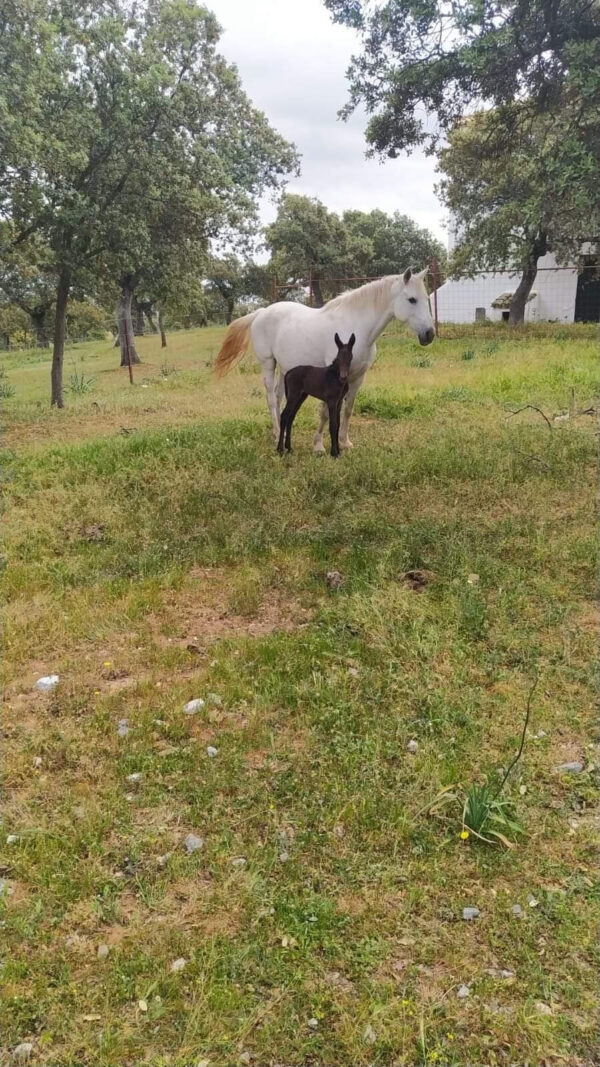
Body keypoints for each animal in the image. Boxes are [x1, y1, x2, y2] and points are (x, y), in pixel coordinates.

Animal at [212, 268, 431, 452]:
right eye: (412, 300)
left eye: (426, 299)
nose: (429, 334)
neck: (356, 328)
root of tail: (262, 312)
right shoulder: (330, 379)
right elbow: (325, 412)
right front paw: (319, 445)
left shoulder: (358, 377)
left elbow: (348, 410)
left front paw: (345, 442)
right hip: (268, 363)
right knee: (271, 399)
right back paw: (276, 435)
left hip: (285, 369)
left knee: (279, 397)